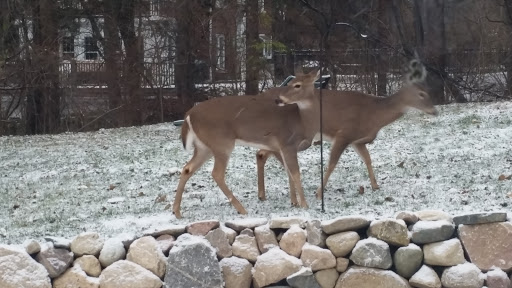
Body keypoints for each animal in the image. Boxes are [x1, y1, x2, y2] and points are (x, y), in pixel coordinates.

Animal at [174, 70, 322, 218]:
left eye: (297, 85)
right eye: (292, 83)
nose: (279, 99)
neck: (302, 122)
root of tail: (188, 115)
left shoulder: (282, 147)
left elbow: (289, 171)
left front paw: (295, 202)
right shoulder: (287, 144)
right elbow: (295, 173)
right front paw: (304, 204)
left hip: (204, 147)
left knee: (187, 168)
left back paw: (176, 211)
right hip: (221, 143)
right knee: (217, 173)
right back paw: (242, 209)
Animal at [256, 59, 436, 201]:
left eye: (428, 91)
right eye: (421, 94)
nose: (434, 110)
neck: (374, 114)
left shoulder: (357, 141)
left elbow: (368, 159)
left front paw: (375, 185)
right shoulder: (344, 134)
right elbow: (332, 164)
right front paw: (319, 193)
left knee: (262, 154)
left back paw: (263, 195)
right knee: (266, 153)